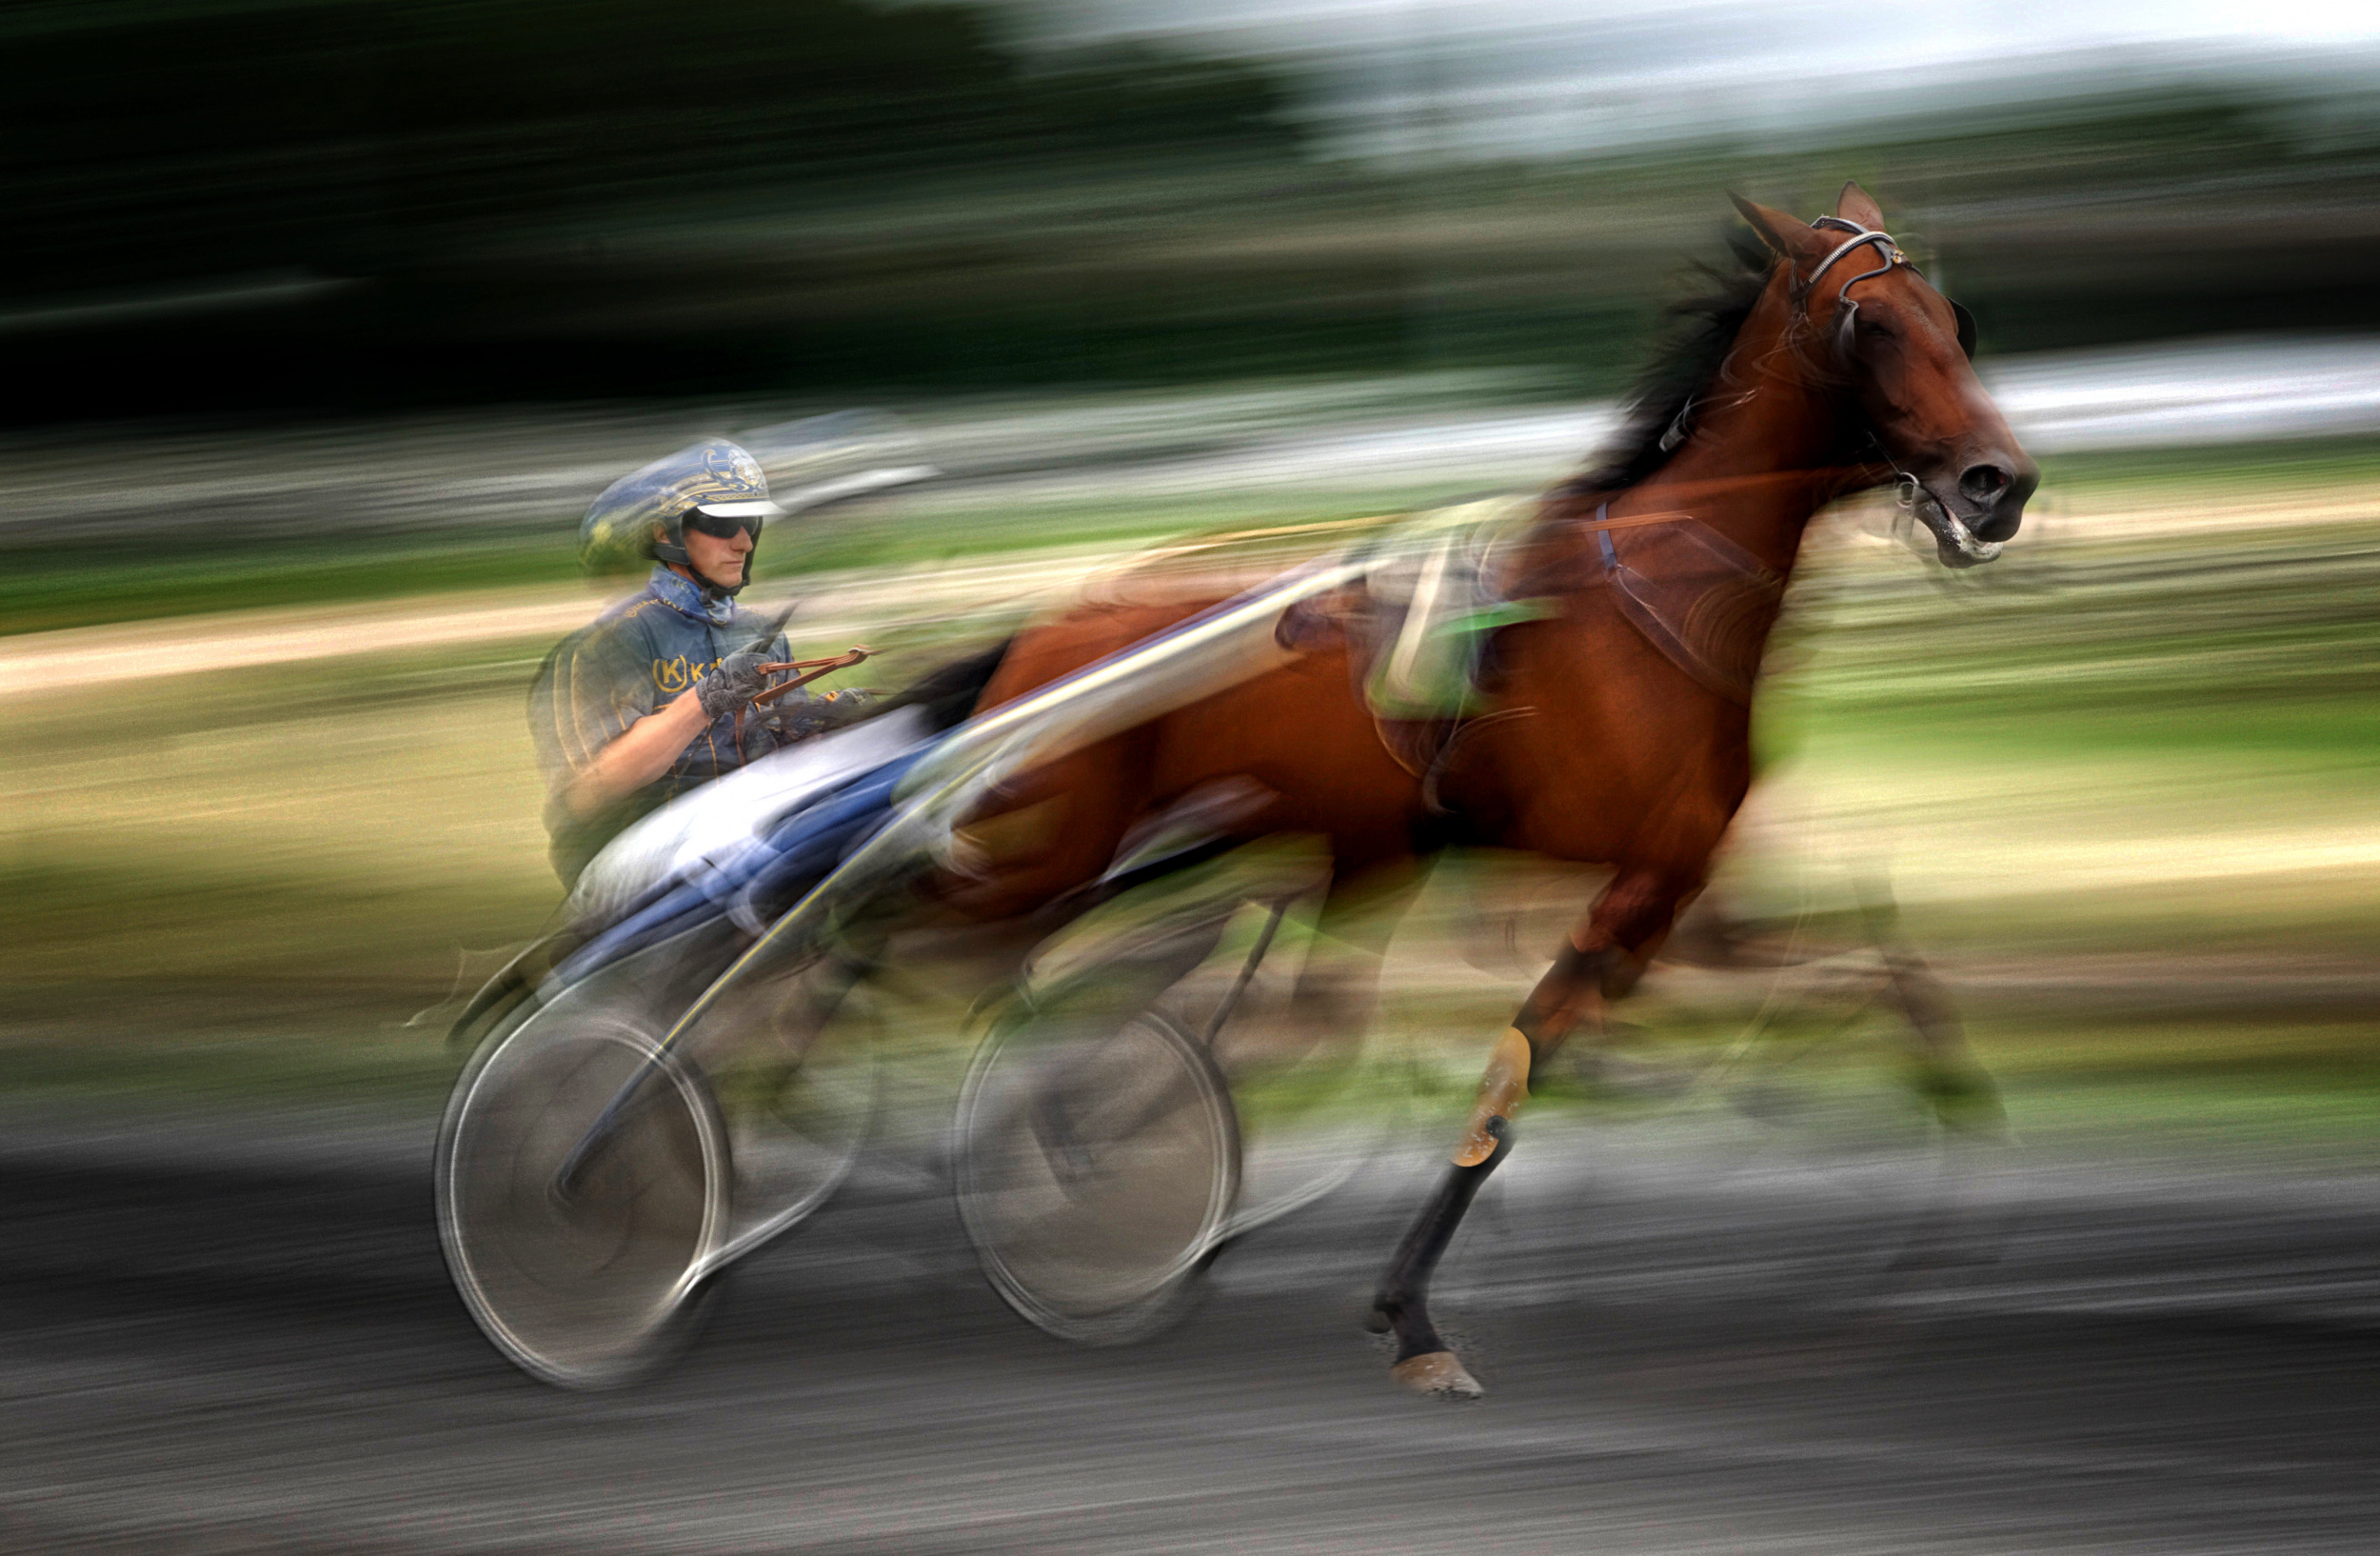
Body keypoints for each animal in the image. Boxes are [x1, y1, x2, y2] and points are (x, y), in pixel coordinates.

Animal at [948, 183, 2037, 1399]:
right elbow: (1512, 1077)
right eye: (1873, 325)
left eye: (1952, 319)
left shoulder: (1678, 879)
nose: (1998, 483)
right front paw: (1412, 1317)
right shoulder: (1633, 880)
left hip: (1332, 851)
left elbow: (1872, 968)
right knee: (962, 968)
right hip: (1052, 849)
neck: (1663, 593)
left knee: (1255, 1009)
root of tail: (1041, 628)